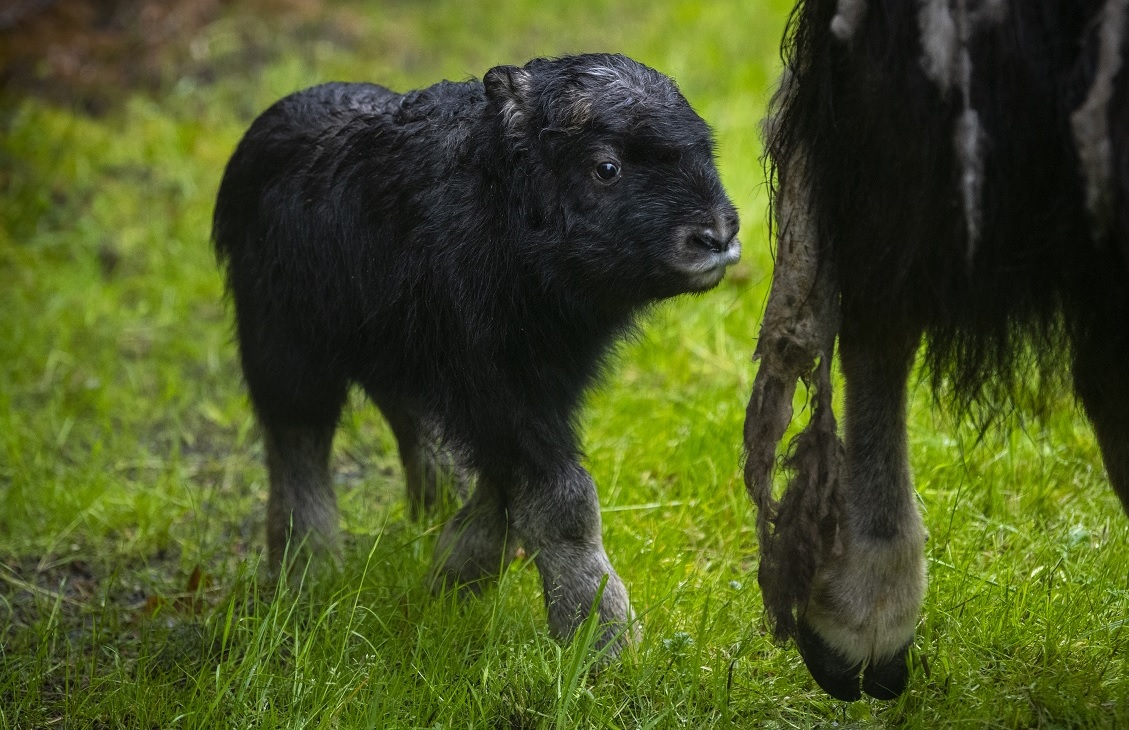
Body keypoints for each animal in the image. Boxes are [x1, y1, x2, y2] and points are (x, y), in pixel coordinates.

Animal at [212, 54, 740, 649]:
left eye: (702, 150)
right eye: (607, 167)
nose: (717, 236)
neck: (502, 210)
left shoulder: (531, 389)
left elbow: (510, 486)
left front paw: (454, 574)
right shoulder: (496, 387)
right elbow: (562, 498)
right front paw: (601, 637)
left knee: (406, 422)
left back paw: (432, 511)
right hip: (286, 349)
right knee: (297, 444)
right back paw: (308, 568)